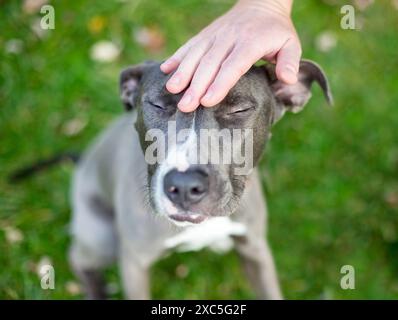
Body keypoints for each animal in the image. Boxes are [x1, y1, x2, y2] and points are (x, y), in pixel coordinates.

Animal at [63, 58, 330, 300]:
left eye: (239, 110)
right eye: (157, 105)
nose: (183, 186)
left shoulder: (255, 248)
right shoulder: (135, 262)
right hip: (103, 238)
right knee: (77, 258)